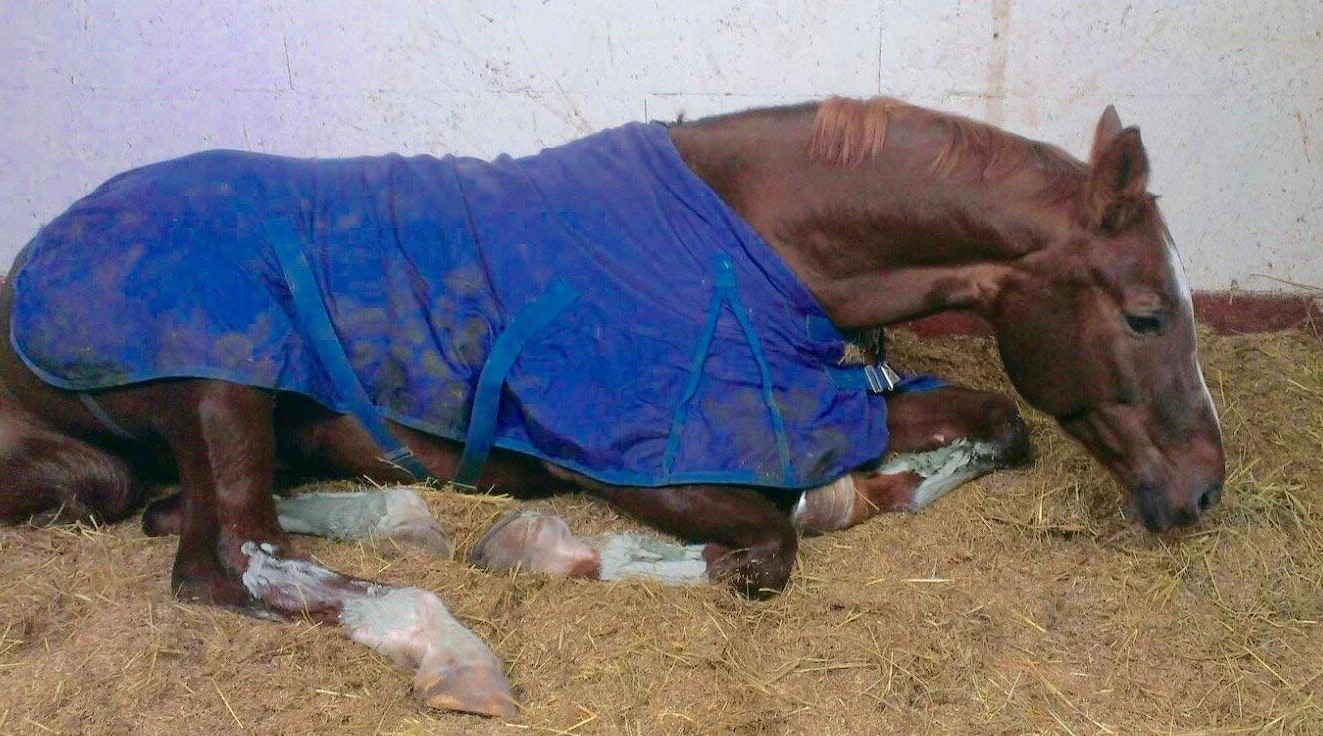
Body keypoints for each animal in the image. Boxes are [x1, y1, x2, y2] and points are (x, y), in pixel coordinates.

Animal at [0, 96, 1224, 717]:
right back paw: (451, 645)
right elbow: (765, 551)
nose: (1204, 490)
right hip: (225, 381)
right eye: (1146, 312)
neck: (744, 247)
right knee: (227, 560)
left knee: (185, 516)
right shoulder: (627, 458)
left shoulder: (842, 403)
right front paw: (543, 547)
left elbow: (995, 425)